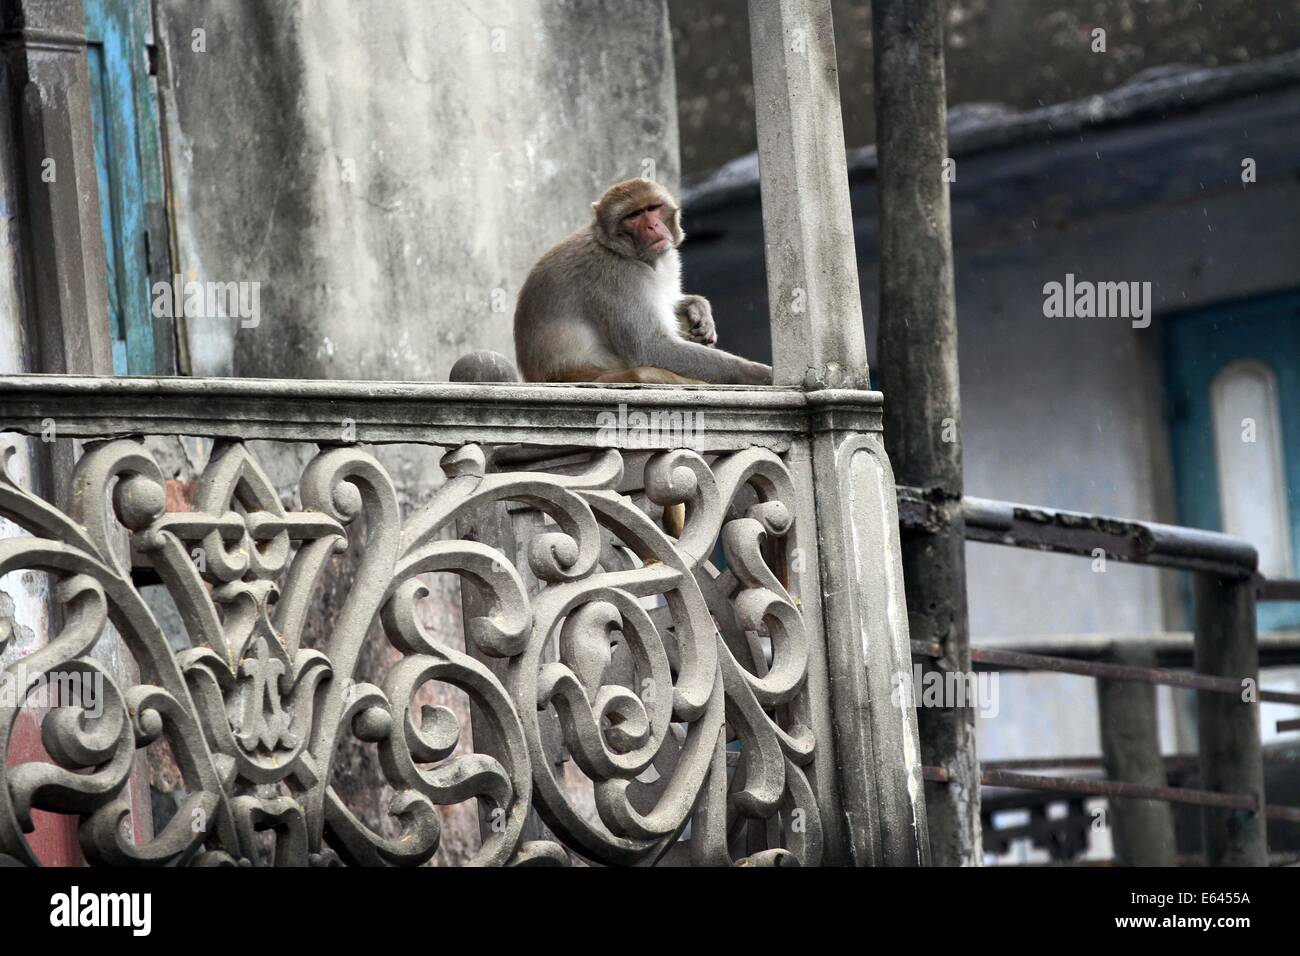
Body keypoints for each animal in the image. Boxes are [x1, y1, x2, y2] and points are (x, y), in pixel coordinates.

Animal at [513, 177, 773, 386]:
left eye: (653, 208)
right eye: (633, 216)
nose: (652, 225)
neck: (619, 250)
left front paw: (698, 308)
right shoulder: (618, 276)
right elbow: (652, 348)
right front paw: (757, 373)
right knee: (644, 373)